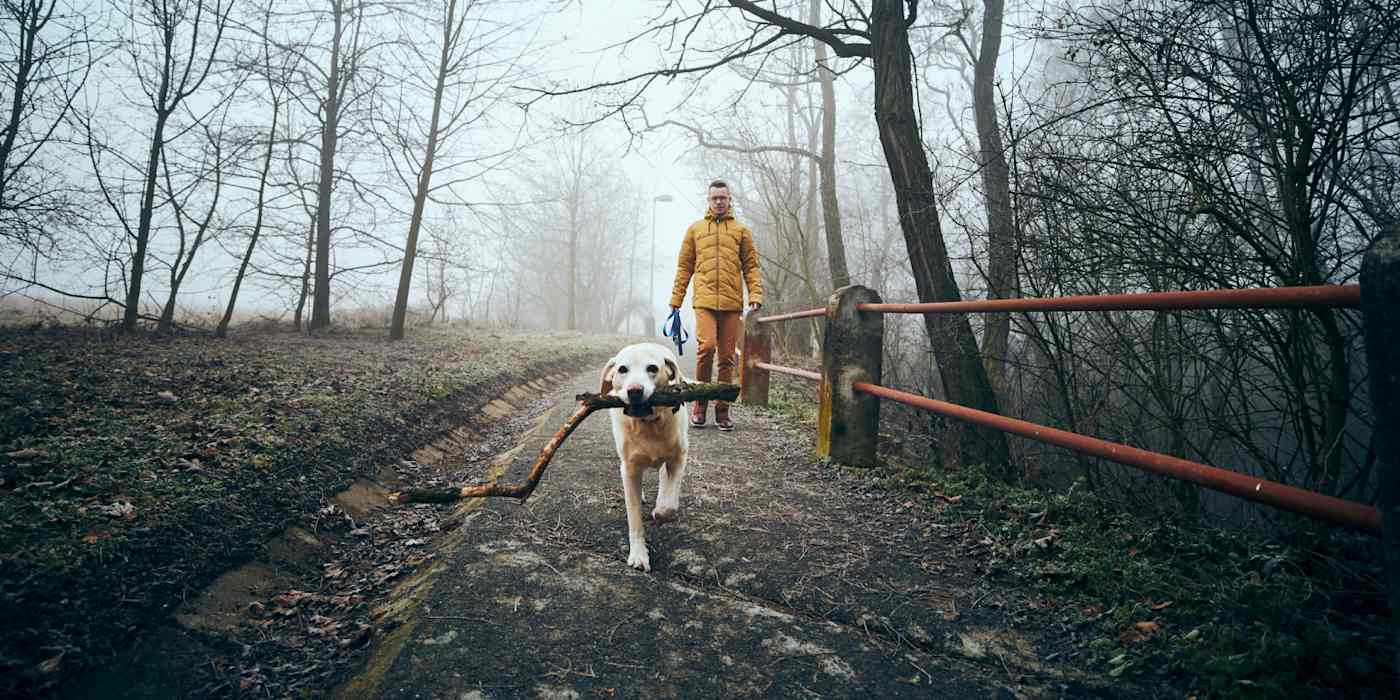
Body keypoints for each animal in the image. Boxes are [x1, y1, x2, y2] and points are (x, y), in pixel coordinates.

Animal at [599, 341, 691, 571]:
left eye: (652, 368)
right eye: (622, 369)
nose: (634, 391)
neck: (648, 424)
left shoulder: (679, 458)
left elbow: (669, 504)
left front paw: (661, 511)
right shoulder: (629, 469)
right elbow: (634, 519)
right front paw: (639, 555)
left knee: (665, 481)